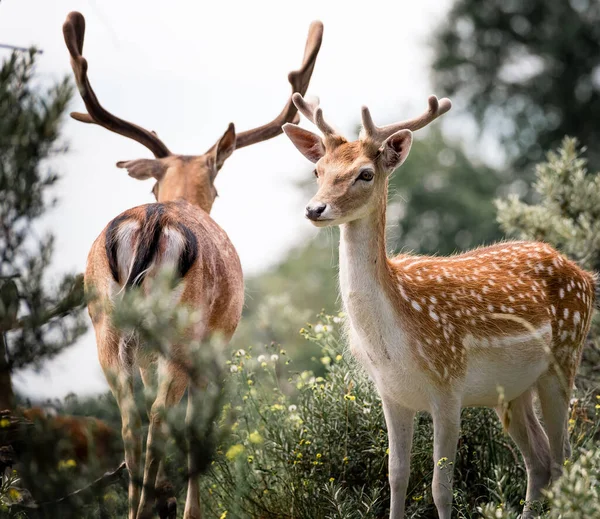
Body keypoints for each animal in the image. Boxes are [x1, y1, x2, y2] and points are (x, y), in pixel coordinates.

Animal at [62, 12, 322, 519]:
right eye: (217, 187)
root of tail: (152, 220)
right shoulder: (217, 342)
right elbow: (196, 424)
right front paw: (189, 509)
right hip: (182, 331)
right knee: (162, 418)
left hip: (106, 323)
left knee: (130, 417)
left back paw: (137, 506)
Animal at [284, 95, 596, 516]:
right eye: (318, 170)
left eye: (365, 174)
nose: (315, 209)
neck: (394, 338)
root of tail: (585, 276)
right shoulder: (392, 394)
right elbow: (396, 476)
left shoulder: (449, 385)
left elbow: (440, 486)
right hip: (513, 391)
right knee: (540, 460)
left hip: (564, 360)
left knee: (564, 459)